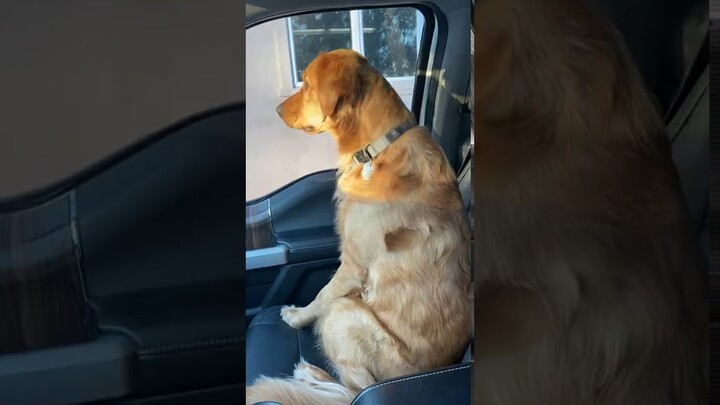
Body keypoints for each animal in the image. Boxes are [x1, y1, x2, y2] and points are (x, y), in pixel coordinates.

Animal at [245, 50, 476, 404]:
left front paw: (297, 316)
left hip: (344, 316)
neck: (378, 148)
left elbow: (321, 296)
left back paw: (310, 375)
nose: (277, 110)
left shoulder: (353, 266)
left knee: (352, 390)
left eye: (307, 84)